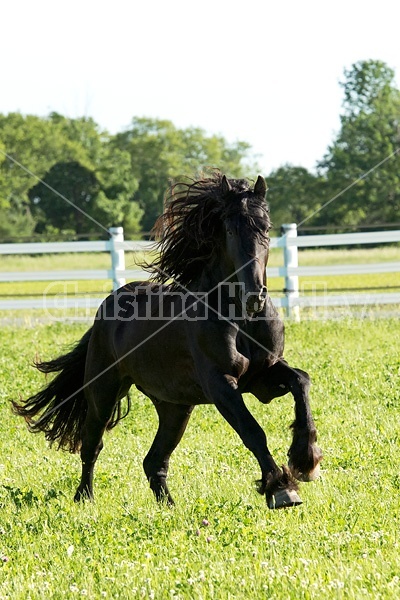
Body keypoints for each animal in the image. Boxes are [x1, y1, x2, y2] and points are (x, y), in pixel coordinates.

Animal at [13, 171, 322, 508]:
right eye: (229, 228)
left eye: (266, 227)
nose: (254, 296)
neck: (240, 320)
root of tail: (106, 307)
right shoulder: (221, 384)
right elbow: (252, 431)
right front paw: (281, 488)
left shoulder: (264, 377)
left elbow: (301, 381)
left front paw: (306, 459)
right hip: (104, 391)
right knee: (92, 445)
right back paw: (85, 498)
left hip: (174, 406)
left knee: (154, 460)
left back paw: (169, 507)